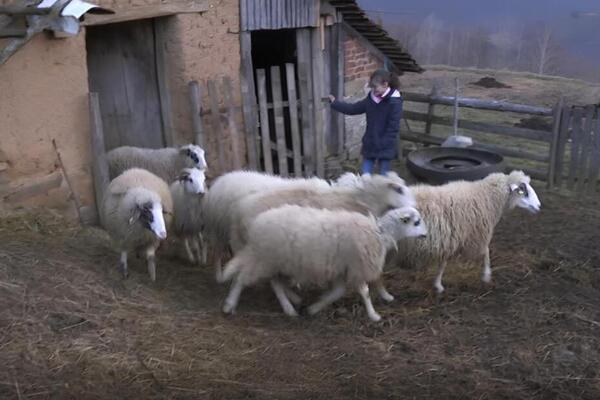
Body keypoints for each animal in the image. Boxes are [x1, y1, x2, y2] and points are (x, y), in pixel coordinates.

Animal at [219, 206, 426, 322]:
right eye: (416, 222)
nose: (426, 234)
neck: (380, 234)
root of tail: (256, 225)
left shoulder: (343, 269)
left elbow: (337, 293)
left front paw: (314, 308)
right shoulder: (356, 266)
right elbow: (365, 292)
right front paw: (374, 315)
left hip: (275, 260)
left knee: (275, 282)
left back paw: (291, 305)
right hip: (266, 258)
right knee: (242, 278)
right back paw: (230, 305)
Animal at [390, 170, 544, 294]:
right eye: (524, 191)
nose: (539, 206)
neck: (486, 196)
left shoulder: (450, 237)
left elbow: (443, 263)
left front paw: (437, 284)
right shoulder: (475, 235)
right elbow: (486, 252)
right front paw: (486, 275)